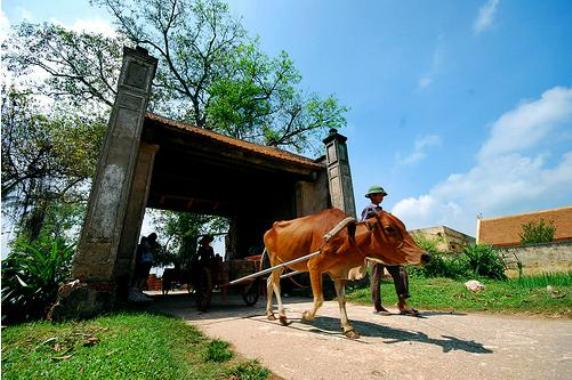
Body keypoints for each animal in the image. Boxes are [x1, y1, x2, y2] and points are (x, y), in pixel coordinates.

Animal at [262, 208, 426, 338]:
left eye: (403, 226)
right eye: (389, 228)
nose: (426, 256)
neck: (347, 237)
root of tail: (271, 228)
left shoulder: (339, 273)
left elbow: (342, 300)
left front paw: (348, 328)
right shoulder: (313, 266)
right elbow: (319, 299)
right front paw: (306, 316)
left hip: (283, 264)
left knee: (269, 281)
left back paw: (271, 313)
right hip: (275, 260)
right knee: (275, 283)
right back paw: (282, 315)